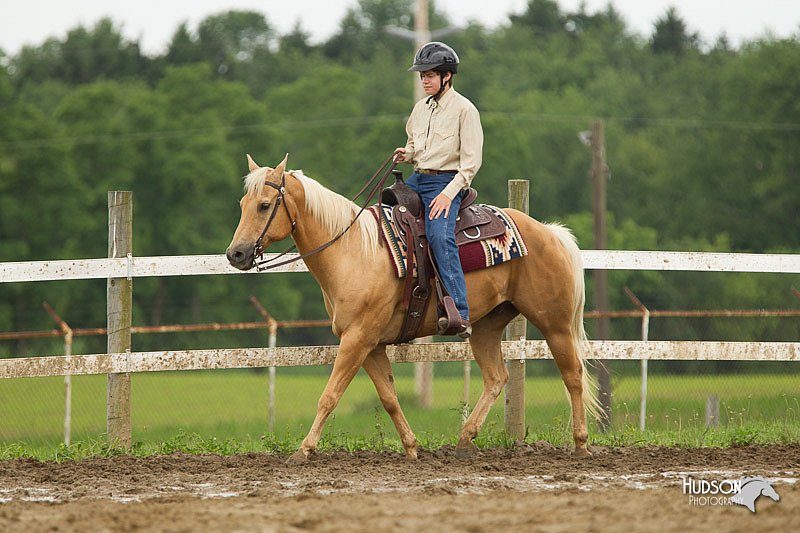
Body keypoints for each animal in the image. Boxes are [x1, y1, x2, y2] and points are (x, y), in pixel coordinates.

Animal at [228, 154, 596, 462]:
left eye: (264, 205)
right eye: (243, 203)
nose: (236, 254)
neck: (353, 251)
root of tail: (549, 232)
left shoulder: (356, 339)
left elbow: (329, 395)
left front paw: (303, 451)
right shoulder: (371, 344)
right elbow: (389, 398)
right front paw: (411, 447)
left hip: (554, 323)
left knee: (573, 375)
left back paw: (580, 444)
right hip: (487, 326)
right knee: (496, 377)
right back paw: (465, 440)